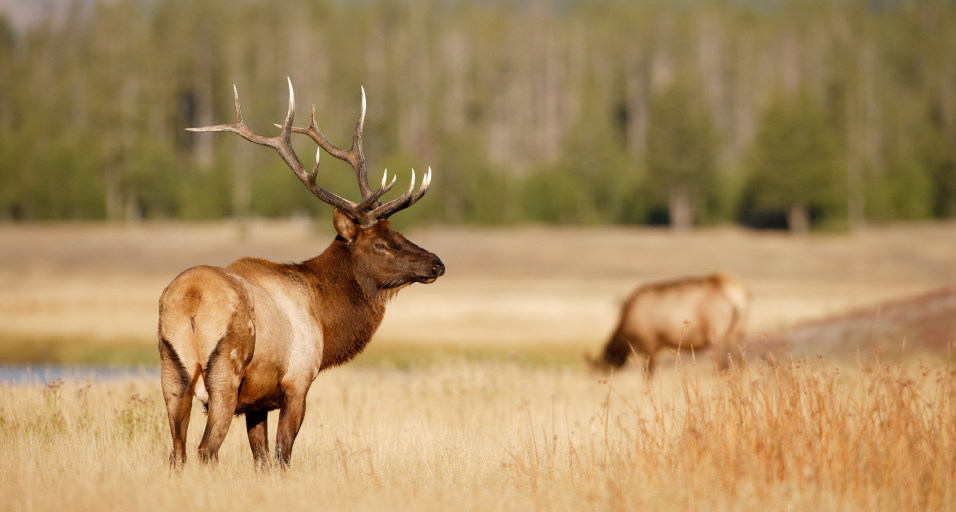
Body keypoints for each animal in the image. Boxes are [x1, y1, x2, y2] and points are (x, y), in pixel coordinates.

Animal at [157, 79, 444, 469]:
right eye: (382, 243)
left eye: (399, 233)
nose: (436, 263)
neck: (323, 315)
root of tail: (190, 301)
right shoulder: (297, 381)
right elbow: (282, 455)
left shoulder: (257, 401)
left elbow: (261, 458)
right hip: (225, 372)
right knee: (206, 450)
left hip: (171, 372)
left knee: (177, 452)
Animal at [590, 273, 750, 376]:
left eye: (602, 366)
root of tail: (739, 296)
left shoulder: (650, 344)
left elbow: (648, 374)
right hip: (736, 331)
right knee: (738, 361)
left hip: (717, 333)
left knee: (722, 362)